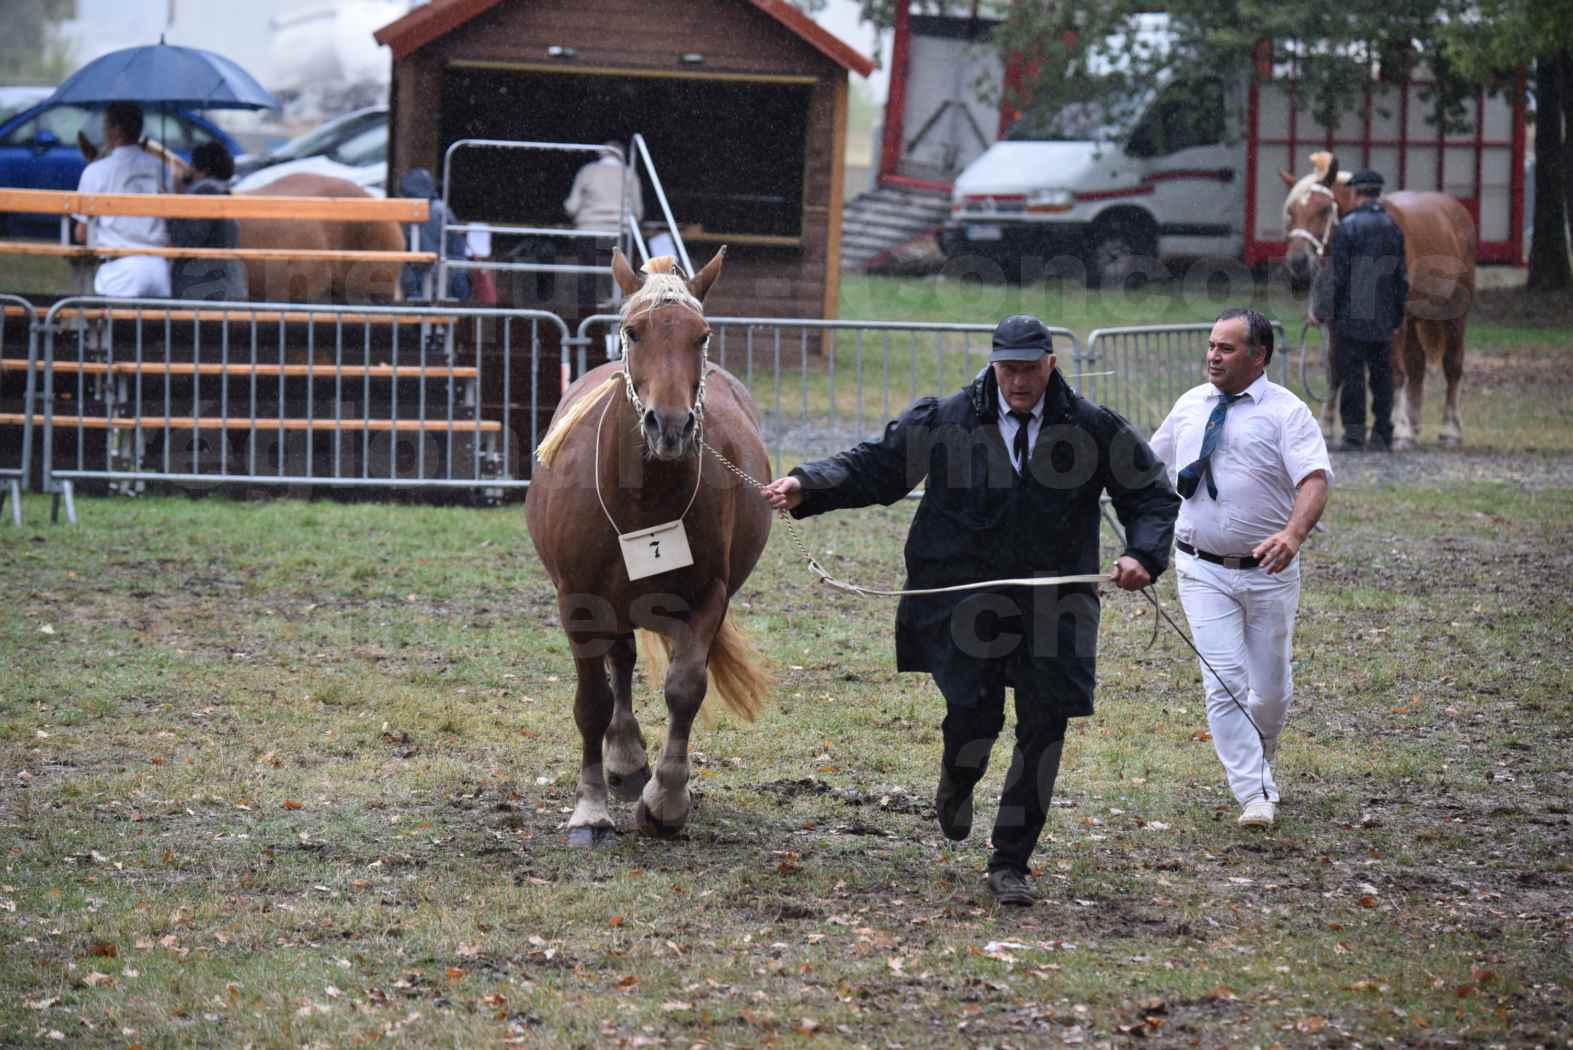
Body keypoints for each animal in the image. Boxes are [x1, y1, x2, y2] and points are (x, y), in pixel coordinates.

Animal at [525, 248, 770, 842]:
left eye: (702, 336)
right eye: (633, 332)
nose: (671, 426)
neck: (644, 499)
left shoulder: (708, 596)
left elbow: (685, 687)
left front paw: (667, 799)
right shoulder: (580, 601)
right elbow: (591, 703)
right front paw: (590, 807)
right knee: (620, 660)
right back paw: (624, 756)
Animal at [1277, 151, 1472, 446]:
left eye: (1323, 210)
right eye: (1291, 212)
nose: (1298, 263)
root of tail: (1454, 209)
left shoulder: (1395, 322)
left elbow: (1395, 372)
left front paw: (1399, 429)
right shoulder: (1336, 321)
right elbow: (1336, 370)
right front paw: (1327, 425)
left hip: (1452, 314)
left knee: (1452, 365)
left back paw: (1448, 430)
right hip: (1414, 319)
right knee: (1417, 365)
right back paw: (1415, 425)